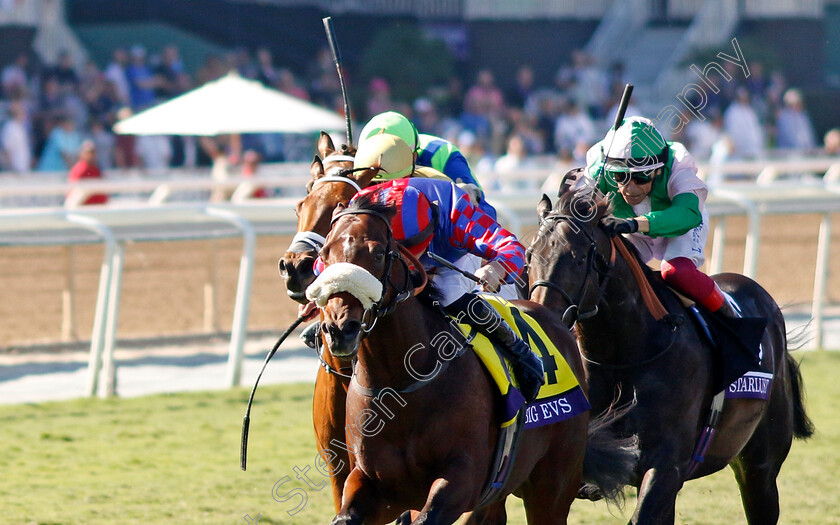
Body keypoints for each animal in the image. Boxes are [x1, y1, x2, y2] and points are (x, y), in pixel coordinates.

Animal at [316, 194, 636, 520]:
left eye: (378, 253)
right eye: (325, 254)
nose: (340, 328)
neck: (400, 384)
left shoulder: (461, 480)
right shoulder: (372, 485)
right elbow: (346, 514)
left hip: (553, 486)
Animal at [524, 185, 812, 524]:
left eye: (579, 258)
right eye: (530, 256)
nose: (543, 316)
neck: (624, 357)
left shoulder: (666, 467)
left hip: (760, 466)